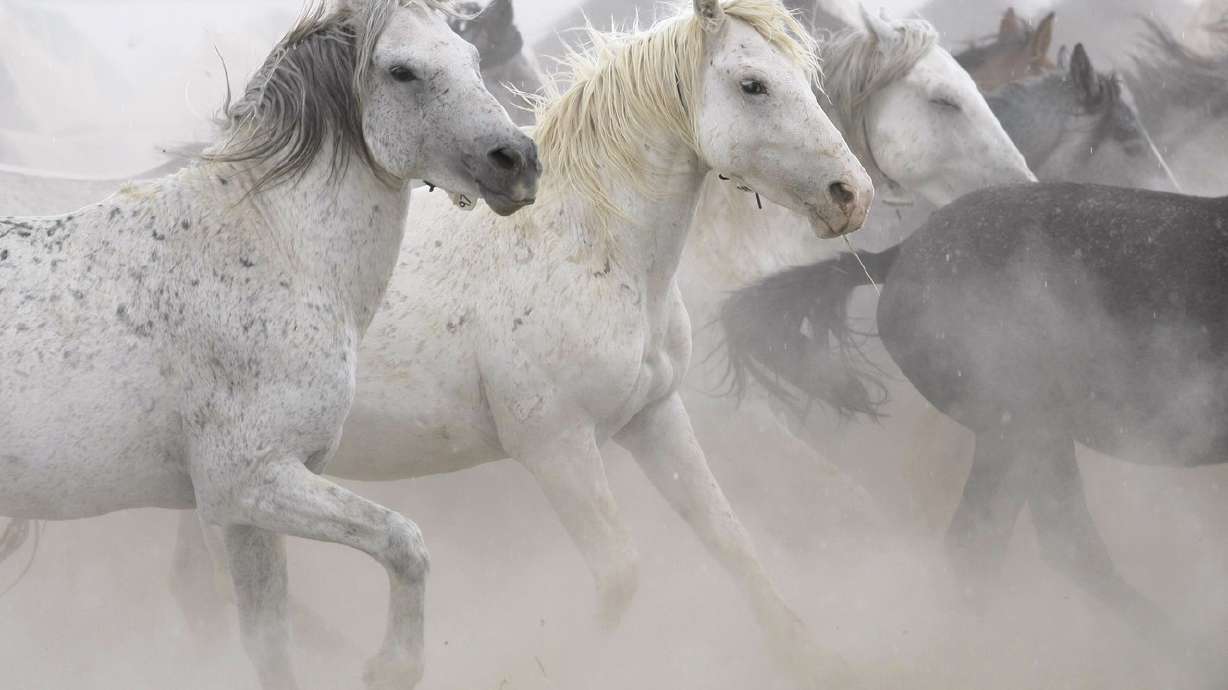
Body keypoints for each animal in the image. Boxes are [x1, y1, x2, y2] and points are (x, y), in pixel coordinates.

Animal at [0, 2, 541, 689]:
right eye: (401, 71)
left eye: (470, 57)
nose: (518, 160)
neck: (268, 250)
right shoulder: (251, 484)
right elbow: (403, 542)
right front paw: (392, 666)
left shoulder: (241, 516)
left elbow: (269, 642)